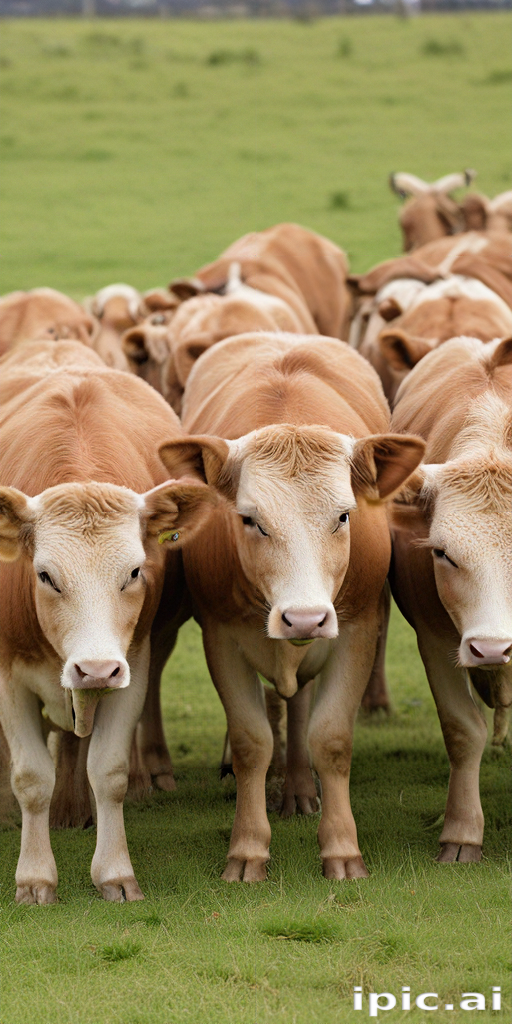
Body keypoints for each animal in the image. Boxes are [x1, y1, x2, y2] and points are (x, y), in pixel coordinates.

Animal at [0, 339, 213, 903]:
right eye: (45, 575)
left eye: (135, 571)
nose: (95, 669)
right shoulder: (7, 675)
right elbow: (30, 778)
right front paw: (34, 878)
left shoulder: (131, 663)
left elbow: (108, 770)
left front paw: (115, 872)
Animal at [159, 332, 424, 881]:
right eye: (249, 519)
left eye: (344, 515)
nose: (304, 616)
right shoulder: (221, 636)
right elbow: (252, 741)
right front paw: (247, 849)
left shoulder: (358, 629)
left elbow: (330, 739)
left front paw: (342, 849)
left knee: (299, 705)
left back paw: (300, 788)